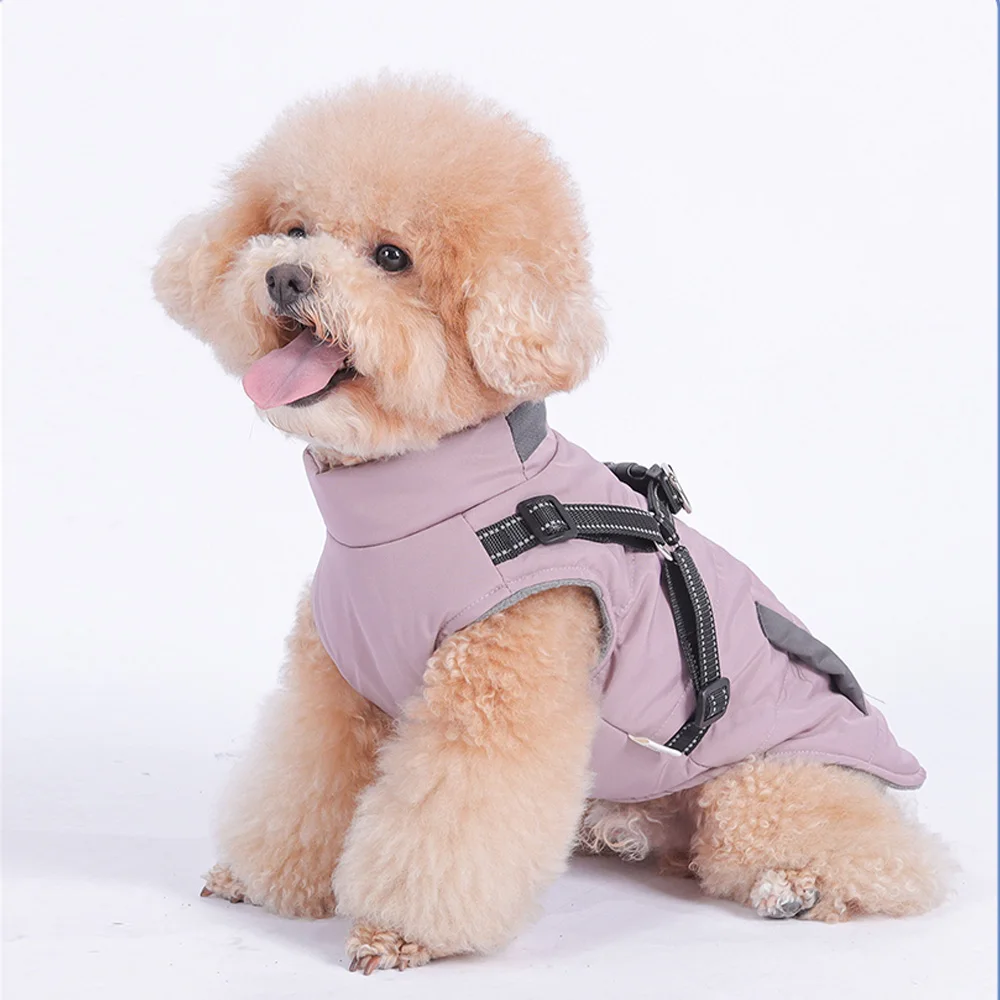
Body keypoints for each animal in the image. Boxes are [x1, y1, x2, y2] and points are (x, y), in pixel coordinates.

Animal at [153, 76, 948, 973]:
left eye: (392, 257)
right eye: (292, 229)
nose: (286, 277)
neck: (415, 505)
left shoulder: (498, 686)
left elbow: (448, 823)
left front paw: (401, 932)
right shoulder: (334, 686)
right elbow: (297, 784)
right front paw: (261, 879)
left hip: (768, 782)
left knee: (882, 855)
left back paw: (796, 886)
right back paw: (626, 831)